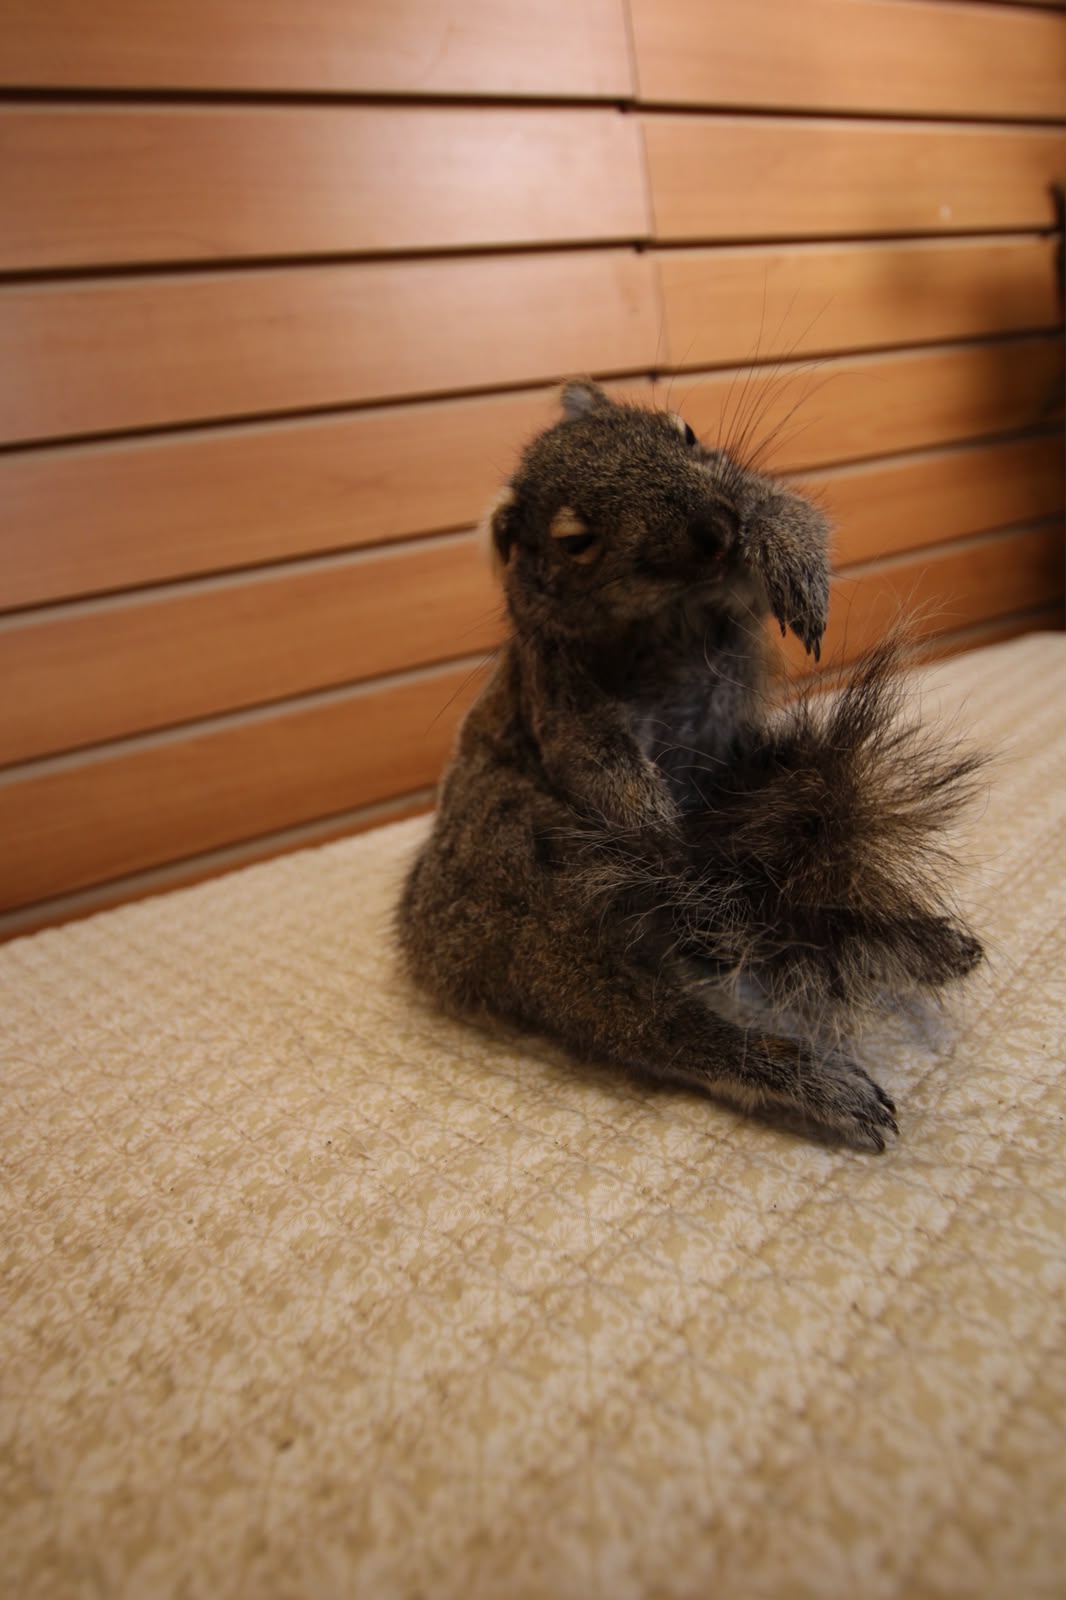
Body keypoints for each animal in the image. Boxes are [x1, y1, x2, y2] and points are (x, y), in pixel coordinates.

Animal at [396, 381, 984, 1150]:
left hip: (757, 781)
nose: (715, 527)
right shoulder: (554, 687)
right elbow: (597, 763)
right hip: (542, 905)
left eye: (687, 433)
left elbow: (786, 508)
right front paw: (660, 833)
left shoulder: (738, 538)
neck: (669, 610)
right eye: (574, 540)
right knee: (662, 1030)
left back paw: (910, 939)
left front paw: (792, 562)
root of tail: (435, 944)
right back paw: (799, 1067)